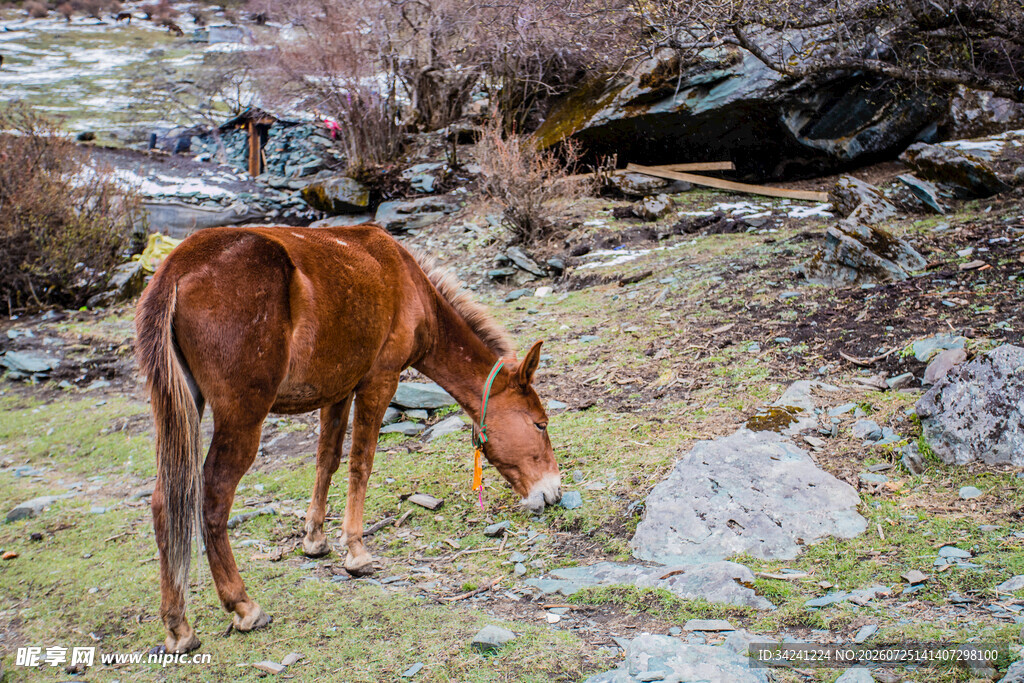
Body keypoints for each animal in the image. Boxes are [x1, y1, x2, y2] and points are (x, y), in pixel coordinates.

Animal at [135, 223, 562, 654]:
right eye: (540, 424)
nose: (554, 491)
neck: (409, 283)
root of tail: (177, 268)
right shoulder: (379, 381)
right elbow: (362, 461)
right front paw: (355, 550)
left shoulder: (338, 390)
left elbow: (327, 460)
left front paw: (315, 538)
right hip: (242, 418)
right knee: (213, 499)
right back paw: (242, 606)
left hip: (181, 409)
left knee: (165, 502)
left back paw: (178, 626)